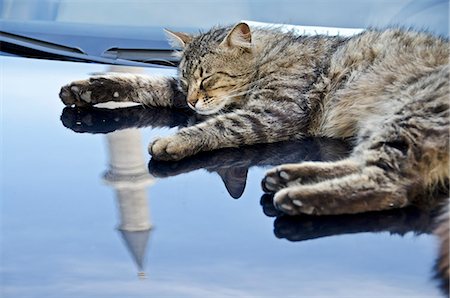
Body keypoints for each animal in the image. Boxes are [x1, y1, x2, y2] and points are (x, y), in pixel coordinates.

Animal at [60, 22, 450, 219]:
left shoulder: (272, 110)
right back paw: (289, 177)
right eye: (186, 80)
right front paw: (90, 87)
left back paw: (300, 198)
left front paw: (176, 140)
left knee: (392, 185)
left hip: (407, 118)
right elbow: (146, 83)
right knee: (370, 168)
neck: (270, 56)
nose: (192, 98)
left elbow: (218, 126)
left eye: (207, 79)